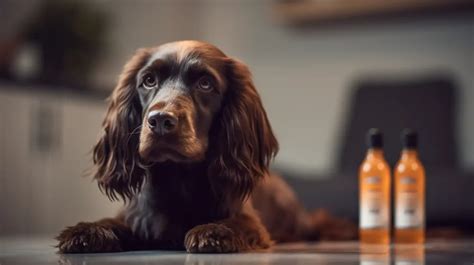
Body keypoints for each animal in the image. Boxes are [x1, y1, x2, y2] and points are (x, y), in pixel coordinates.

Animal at [56, 40, 356, 253]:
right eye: (149, 80)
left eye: (205, 83)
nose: (160, 121)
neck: (179, 179)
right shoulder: (138, 218)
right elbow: (113, 222)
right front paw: (87, 231)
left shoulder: (252, 224)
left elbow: (234, 224)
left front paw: (213, 231)